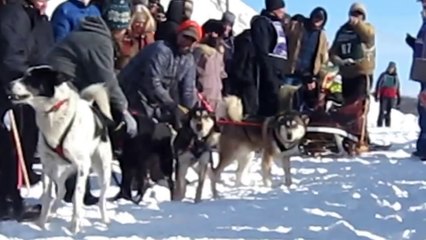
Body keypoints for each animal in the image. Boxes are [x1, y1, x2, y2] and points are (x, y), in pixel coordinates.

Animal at [7, 65, 113, 232]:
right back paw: (51, 214)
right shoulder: (46, 166)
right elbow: (46, 196)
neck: (53, 112)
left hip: (103, 170)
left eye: (30, 78)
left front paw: (75, 227)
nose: (8, 84)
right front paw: (41, 225)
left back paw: (105, 219)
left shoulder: (82, 166)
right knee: (61, 190)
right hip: (59, 171)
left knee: (101, 198)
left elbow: (77, 197)